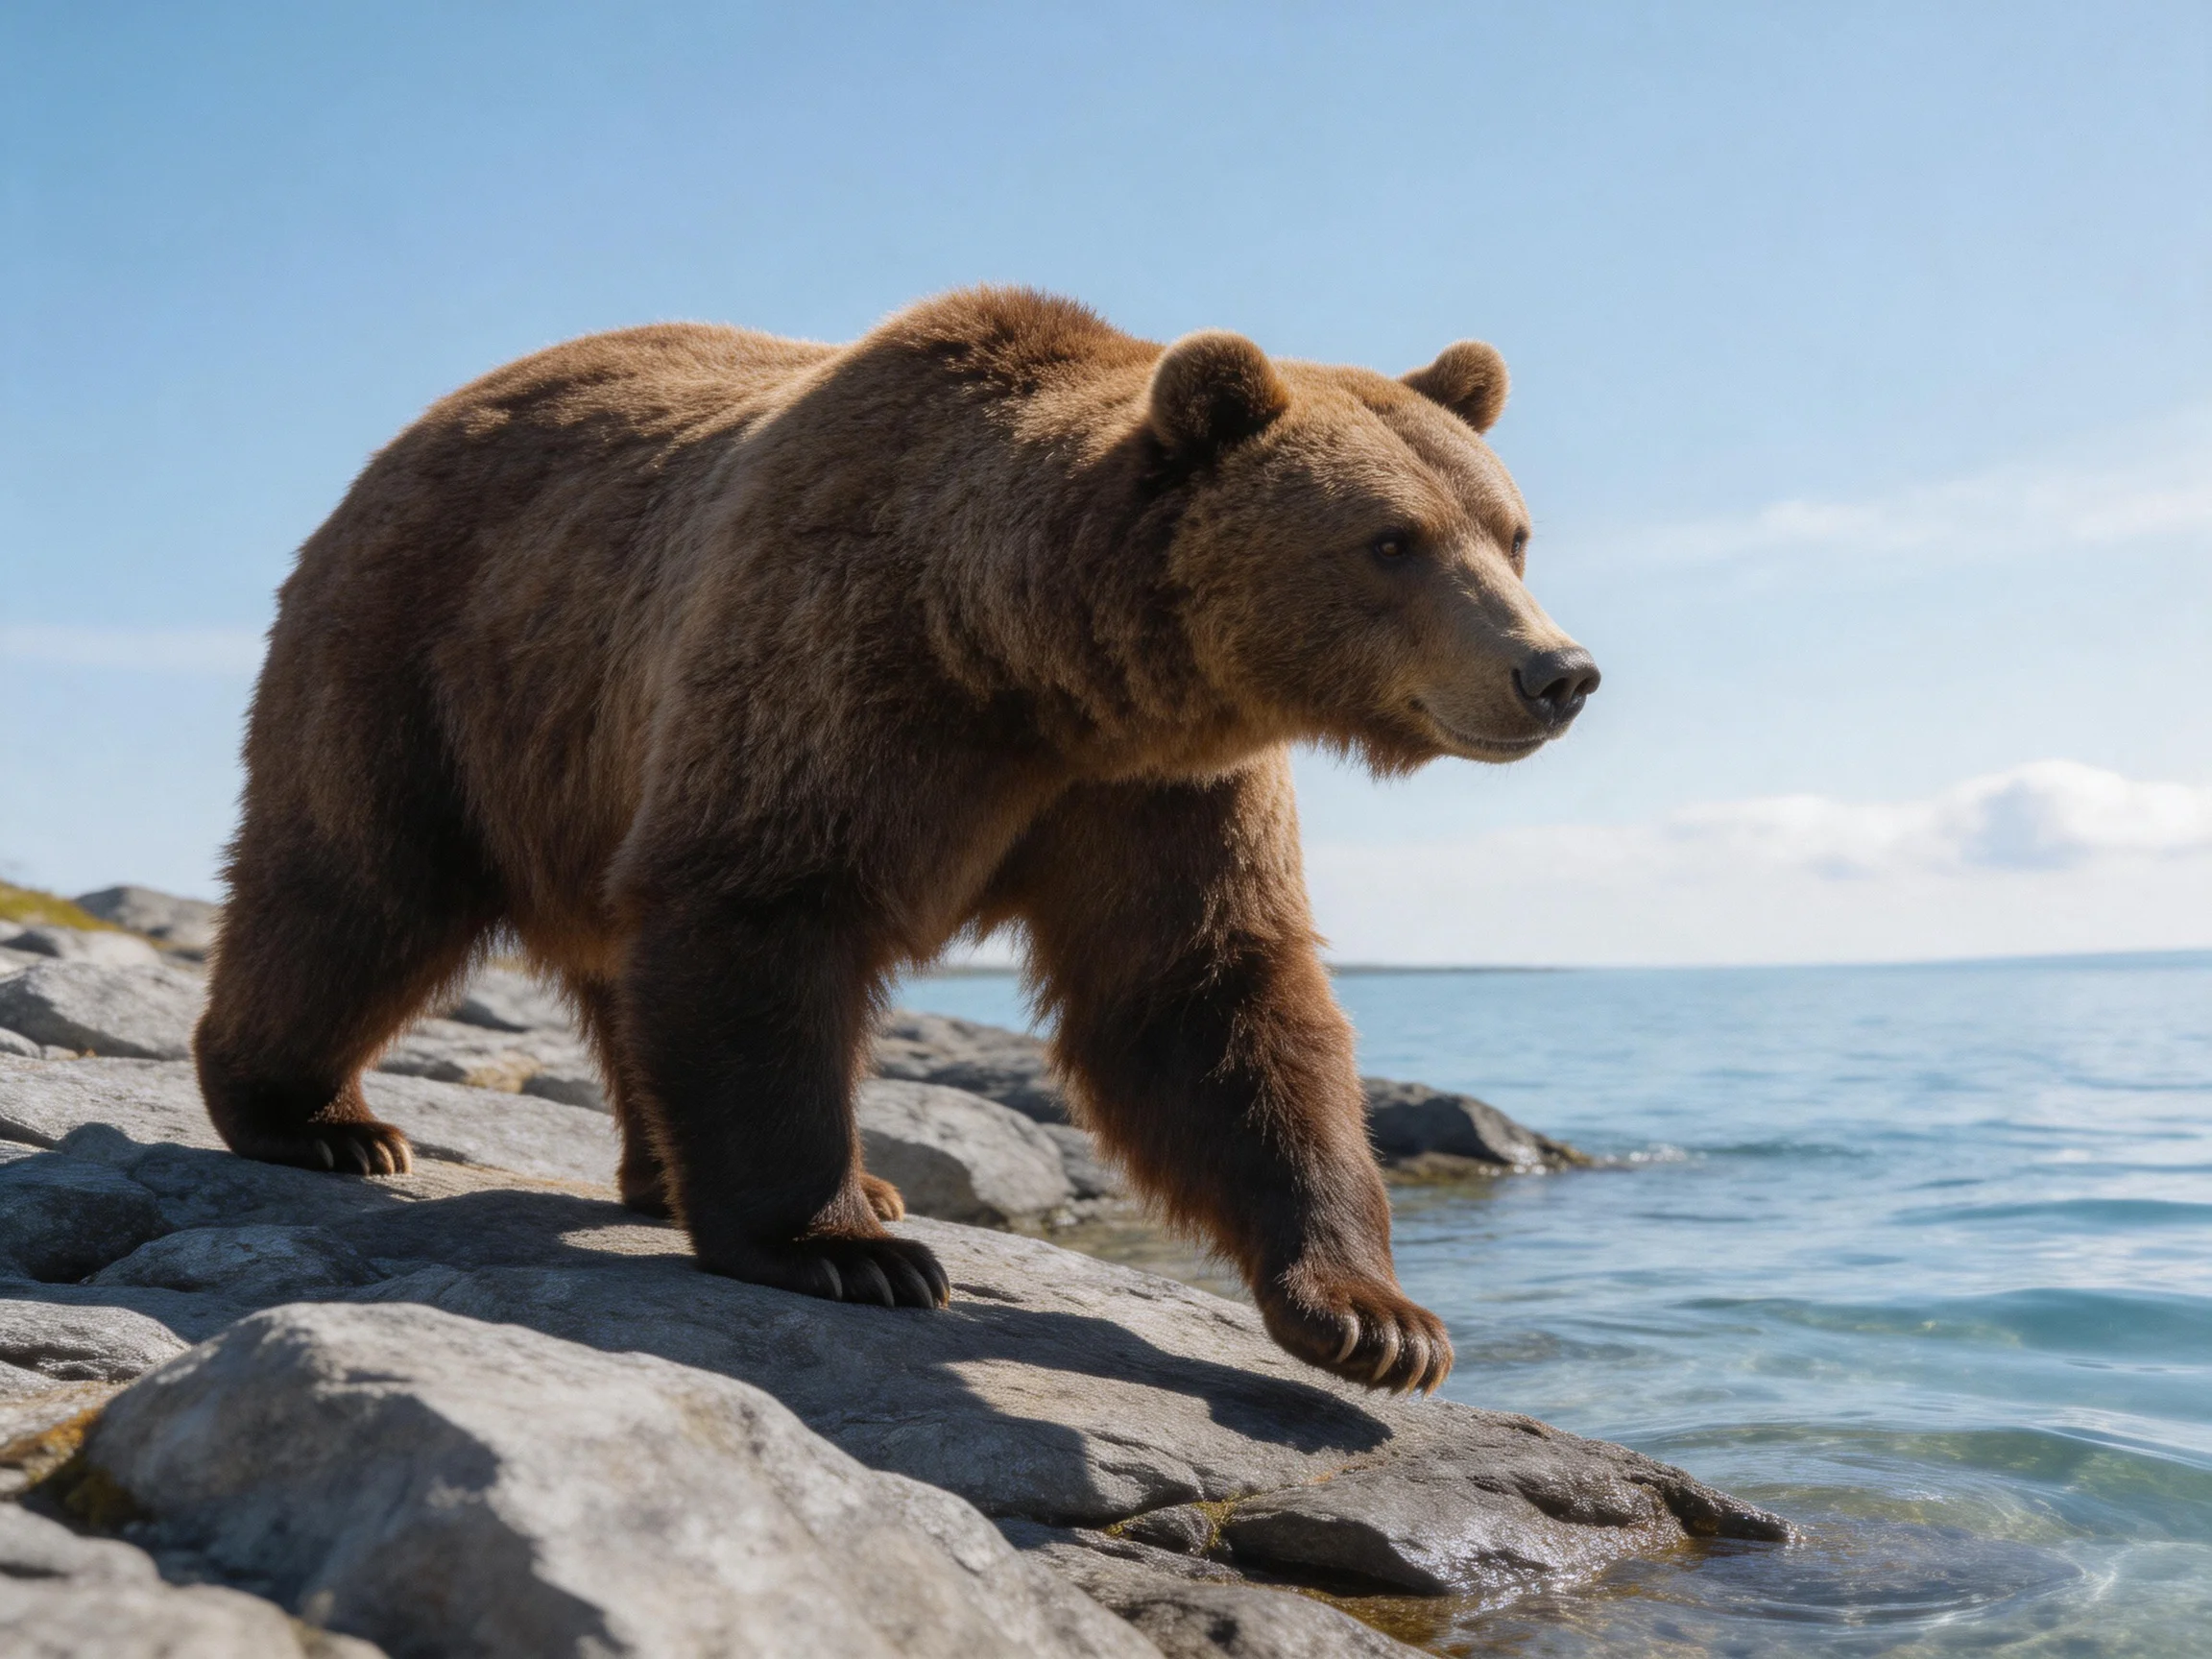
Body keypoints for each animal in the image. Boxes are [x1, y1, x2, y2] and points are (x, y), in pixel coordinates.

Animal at [194, 289, 1598, 1394]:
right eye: (1389, 541)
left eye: (1511, 532)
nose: (1555, 672)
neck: (1034, 666)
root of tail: (417, 427)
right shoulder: (845, 671)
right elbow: (765, 912)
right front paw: (845, 1250)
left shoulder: (1157, 791)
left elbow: (1204, 996)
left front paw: (1374, 1318)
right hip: (433, 656)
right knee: (357, 885)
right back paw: (316, 1117)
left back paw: (664, 1175)